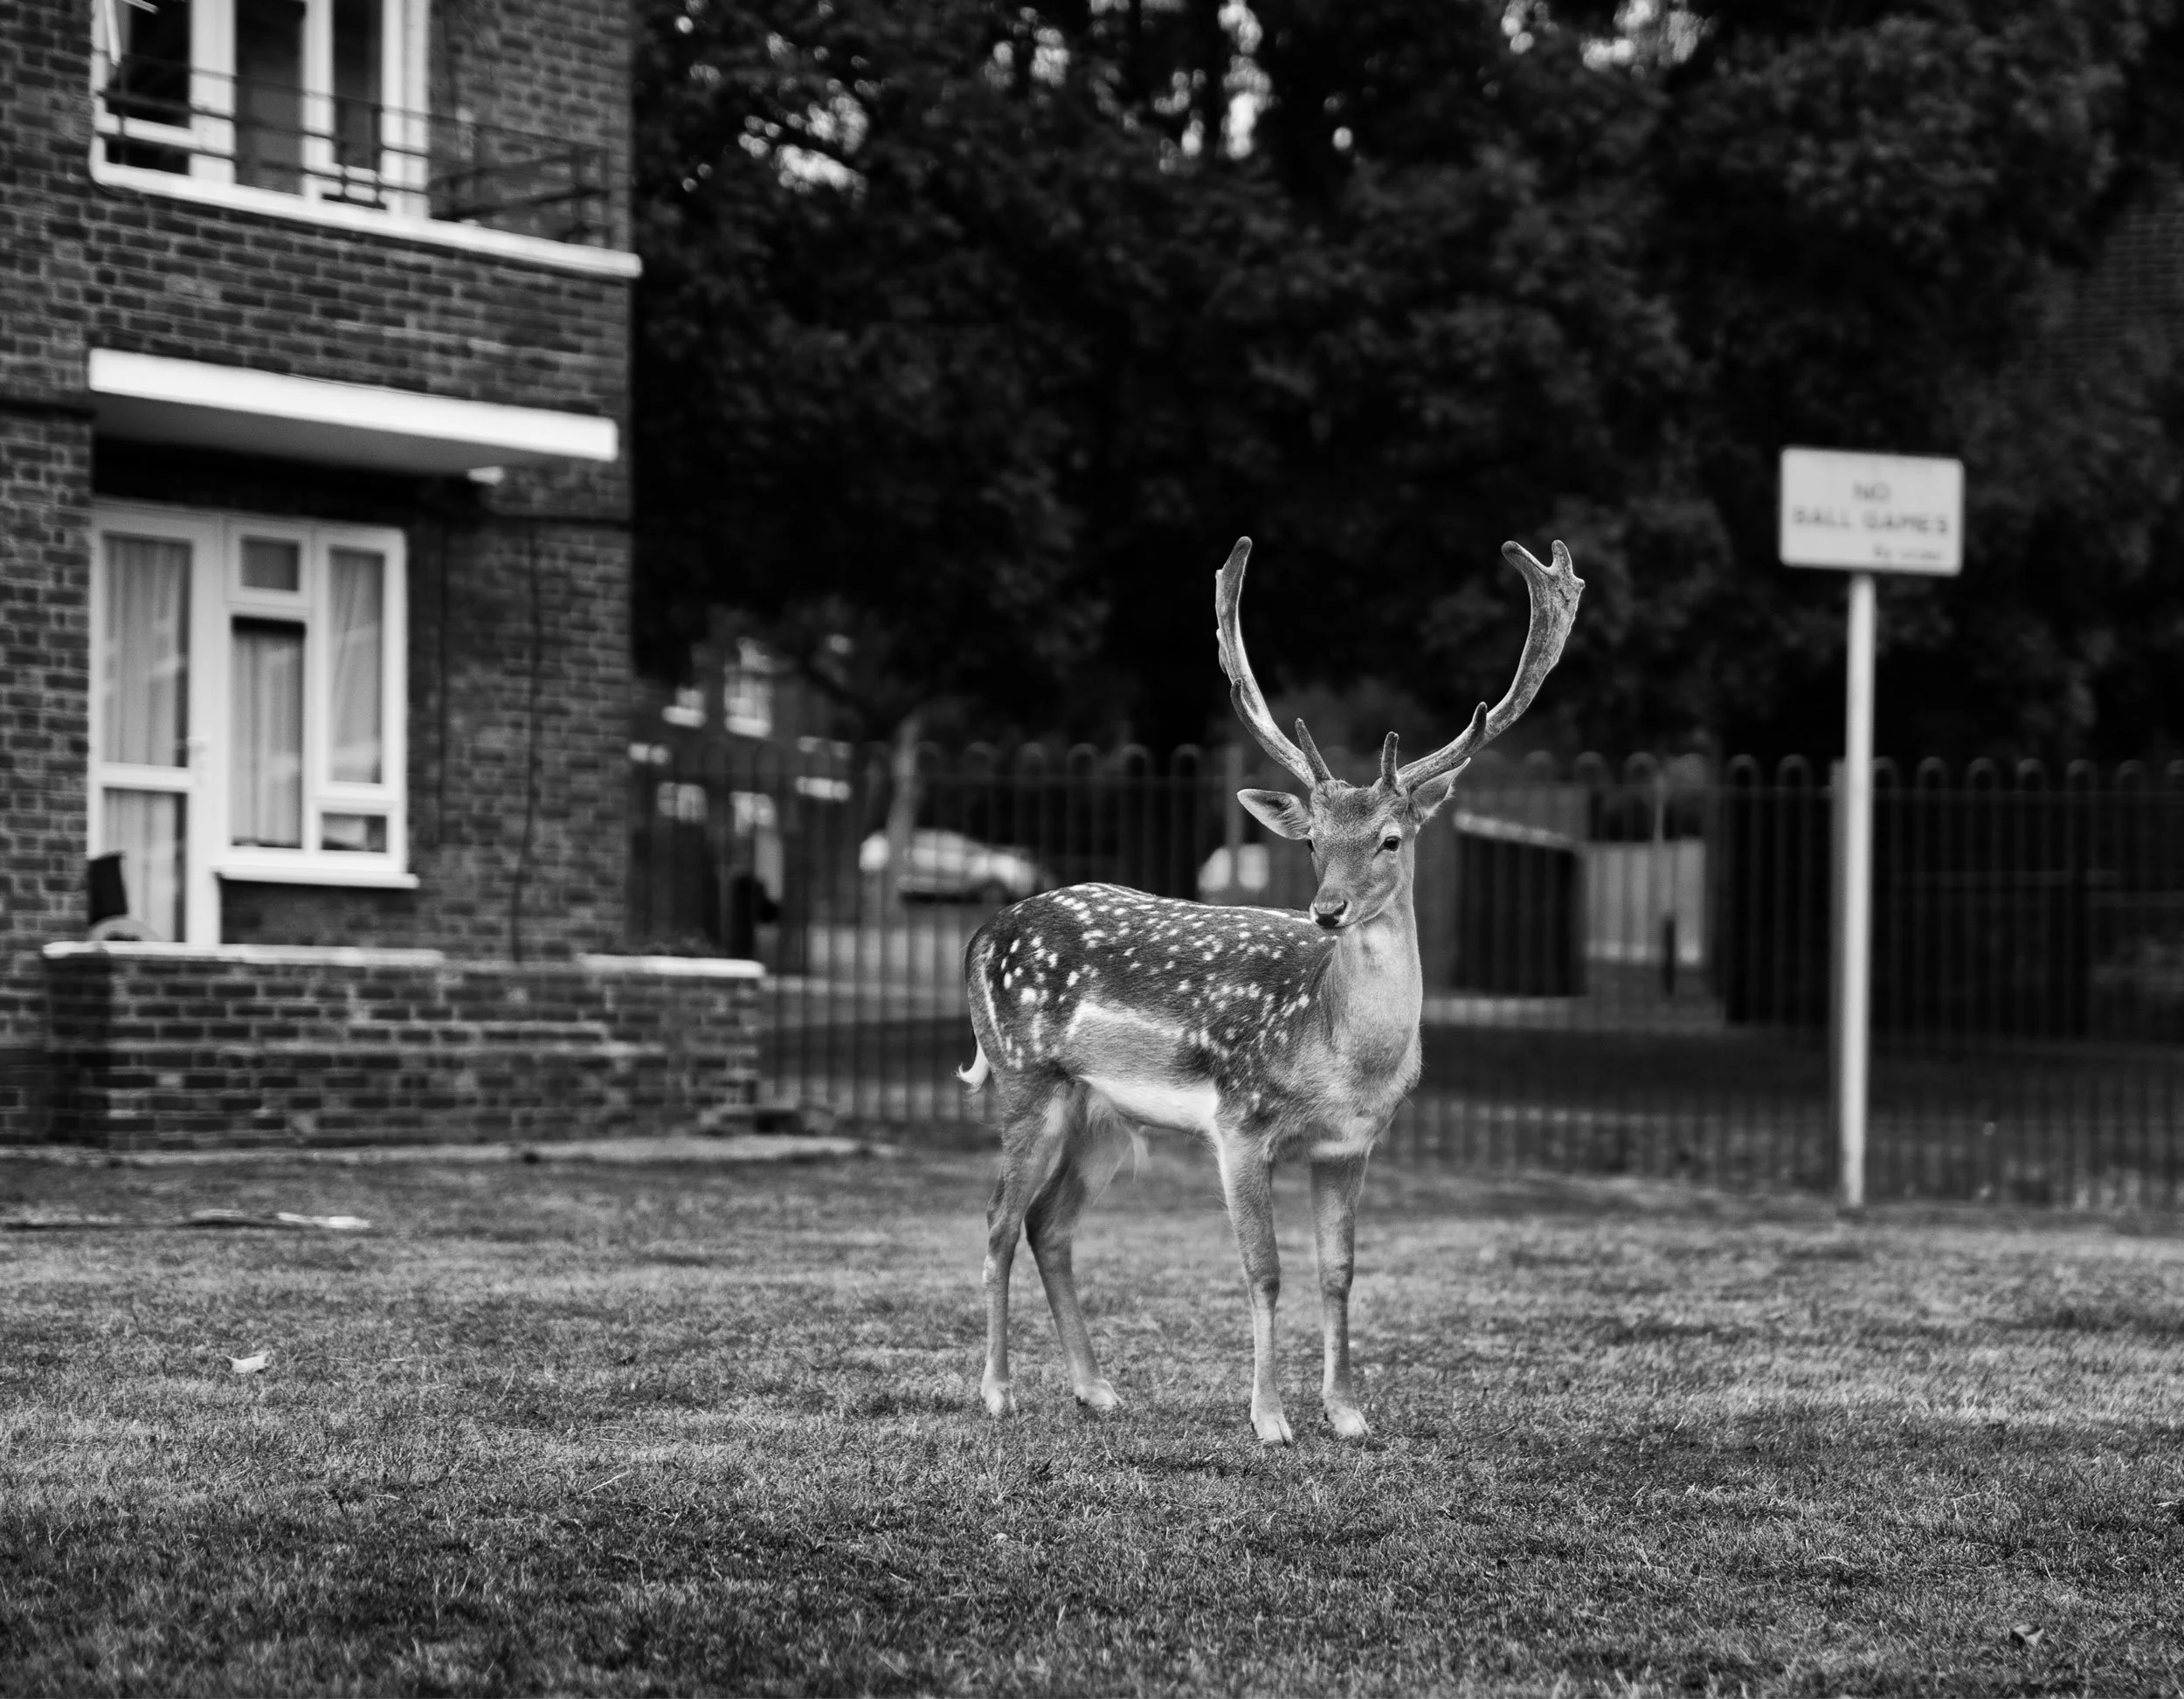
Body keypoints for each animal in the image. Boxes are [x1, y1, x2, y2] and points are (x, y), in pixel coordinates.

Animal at [957, 534, 1583, 1443]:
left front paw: (1349, 1413)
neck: (1340, 1055)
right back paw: (999, 1390)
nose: (1327, 909)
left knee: (1050, 1224)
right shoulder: (1240, 1123)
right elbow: (1264, 1269)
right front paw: (1270, 1419)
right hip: (1024, 1077)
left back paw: (1097, 1388)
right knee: (1001, 1220)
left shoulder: (1352, 1144)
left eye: (1391, 838)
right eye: (1315, 839)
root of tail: (981, 935)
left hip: (1104, 1114)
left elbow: (1339, 1271)